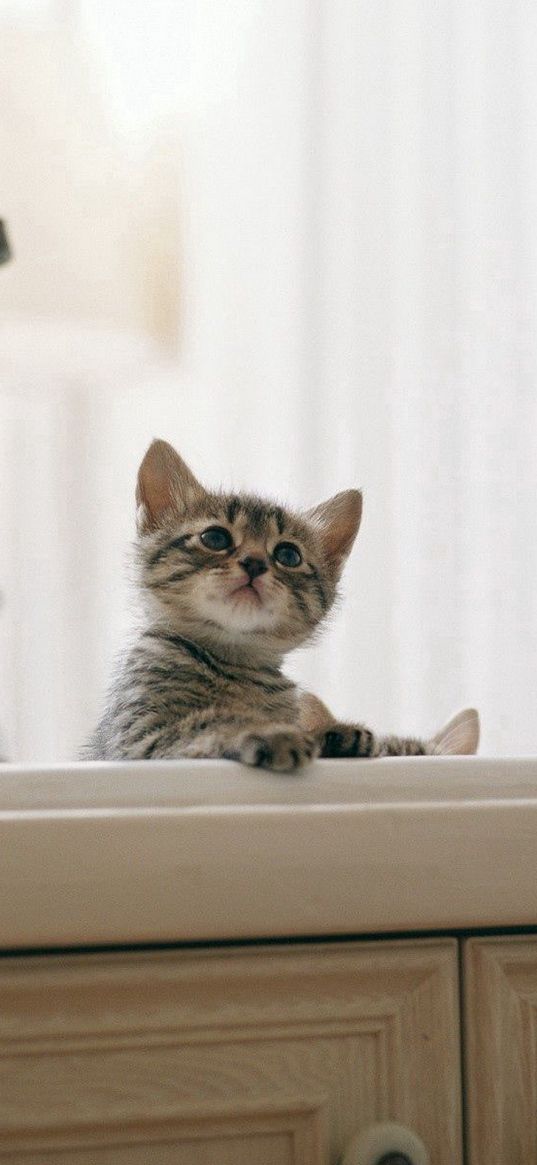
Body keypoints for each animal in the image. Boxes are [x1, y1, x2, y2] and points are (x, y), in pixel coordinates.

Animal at [83, 440, 477, 768]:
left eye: (288, 555)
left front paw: (331, 734)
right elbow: (206, 725)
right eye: (215, 538)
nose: (255, 563)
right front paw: (267, 732)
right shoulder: (140, 734)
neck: (234, 663)